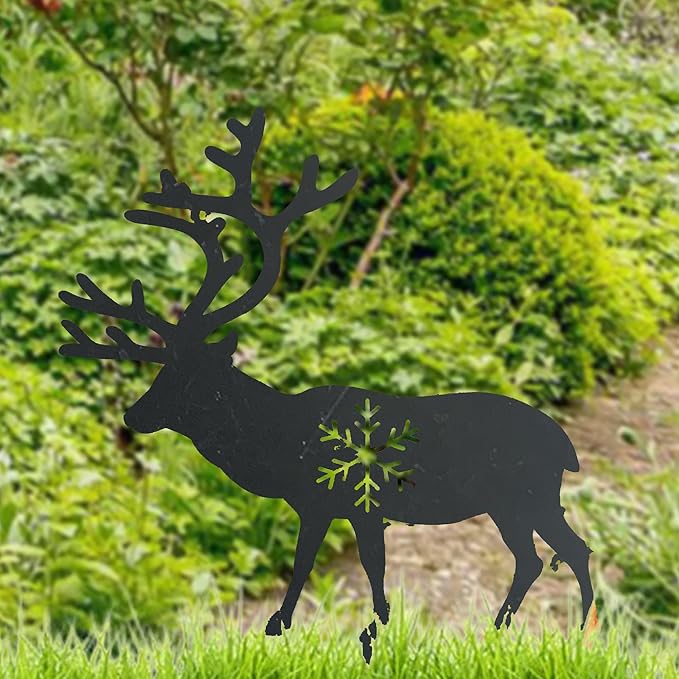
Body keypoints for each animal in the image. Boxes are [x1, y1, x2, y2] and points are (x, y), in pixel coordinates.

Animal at [59, 109, 593, 663]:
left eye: (192, 377)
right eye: (162, 369)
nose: (133, 415)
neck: (278, 442)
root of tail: (567, 449)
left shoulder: (335, 501)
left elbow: (321, 565)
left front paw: (296, 628)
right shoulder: (333, 507)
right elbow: (361, 569)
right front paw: (373, 629)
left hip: (525, 494)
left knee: (565, 551)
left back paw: (569, 633)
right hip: (515, 501)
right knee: (541, 556)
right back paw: (510, 628)